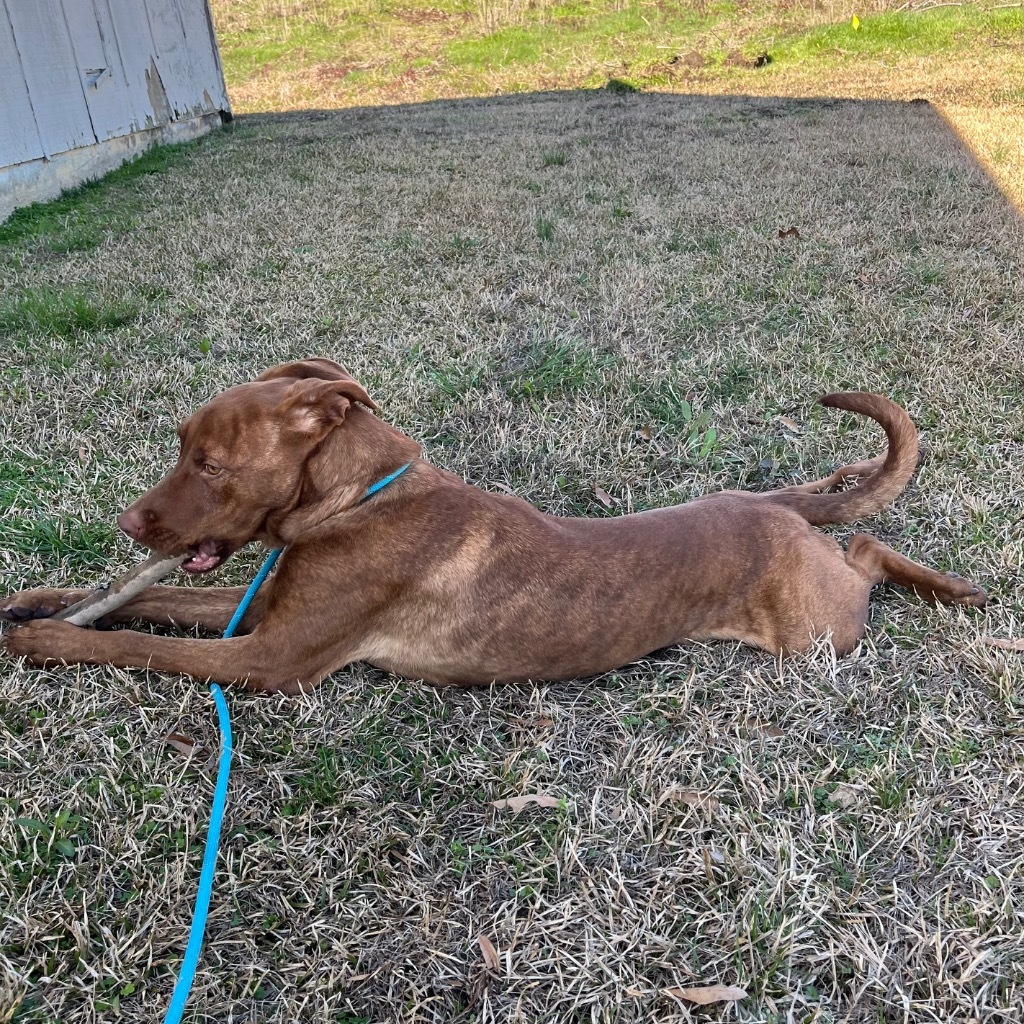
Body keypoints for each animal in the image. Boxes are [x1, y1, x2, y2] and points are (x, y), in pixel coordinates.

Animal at [2, 356, 991, 692]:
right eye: (182, 448)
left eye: (208, 463)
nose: (129, 522)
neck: (359, 498)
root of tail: (772, 509)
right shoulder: (260, 613)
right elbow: (145, 604)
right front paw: (41, 598)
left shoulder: (271, 660)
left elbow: (136, 643)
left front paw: (45, 640)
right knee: (850, 518)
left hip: (820, 628)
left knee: (866, 551)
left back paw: (949, 585)